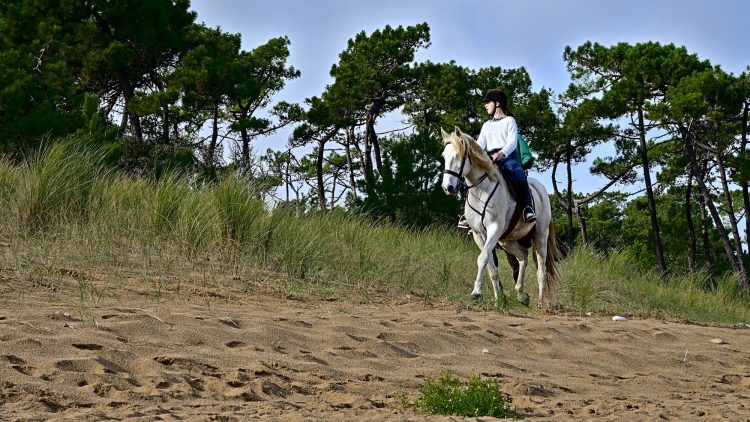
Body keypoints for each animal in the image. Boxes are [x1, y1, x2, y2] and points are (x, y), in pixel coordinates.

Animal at [440, 127, 562, 308]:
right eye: (444, 156)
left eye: (458, 156)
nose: (447, 187)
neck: (481, 189)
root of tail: (542, 190)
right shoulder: (479, 234)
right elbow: (491, 266)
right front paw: (498, 299)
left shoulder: (493, 229)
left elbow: (482, 258)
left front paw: (476, 292)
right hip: (507, 240)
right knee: (523, 256)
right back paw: (520, 293)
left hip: (540, 235)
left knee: (542, 269)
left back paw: (540, 303)